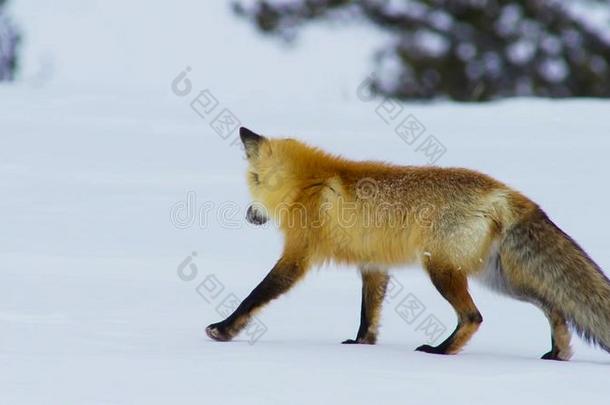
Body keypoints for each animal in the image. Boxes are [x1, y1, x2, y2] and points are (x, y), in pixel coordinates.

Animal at [205, 127, 608, 360]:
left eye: (250, 180)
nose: (248, 214)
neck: (310, 183)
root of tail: (505, 191)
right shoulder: (373, 265)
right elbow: (369, 315)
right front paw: (362, 345)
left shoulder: (297, 256)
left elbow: (256, 295)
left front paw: (224, 330)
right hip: (499, 279)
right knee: (554, 305)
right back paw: (559, 352)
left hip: (443, 270)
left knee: (474, 316)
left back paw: (441, 351)